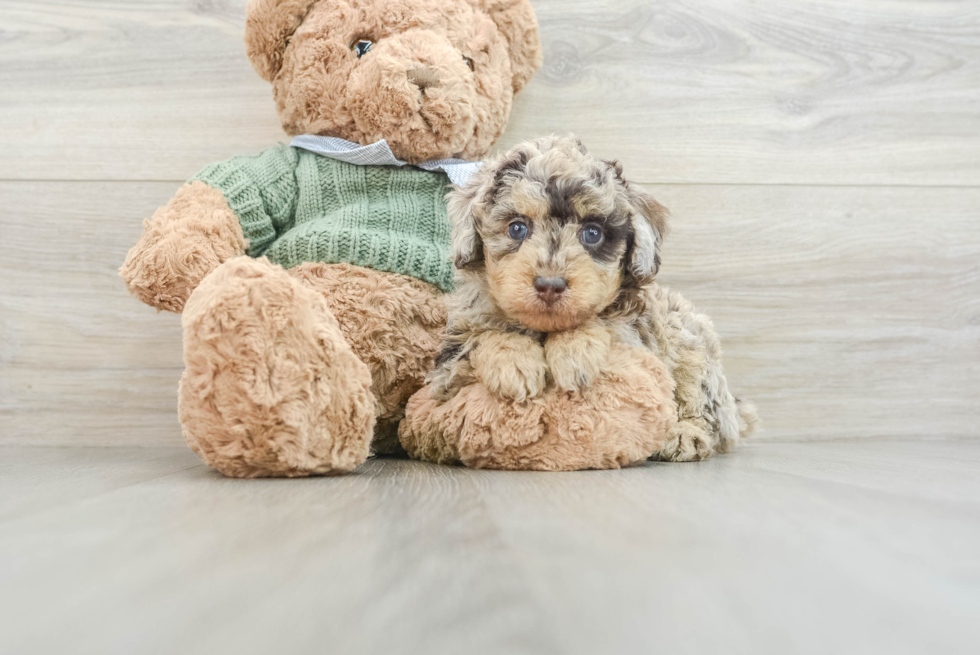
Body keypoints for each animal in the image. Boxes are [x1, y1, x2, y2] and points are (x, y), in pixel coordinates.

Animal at [428, 135, 756, 462]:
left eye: (592, 233)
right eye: (517, 228)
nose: (550, 285)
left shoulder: (637, 340)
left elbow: (601, 322)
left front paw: (574, 353)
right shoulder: (447, 374)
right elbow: (481, 337)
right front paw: (513, 364)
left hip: (692, 345)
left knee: (706, 407)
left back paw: (686, 435)